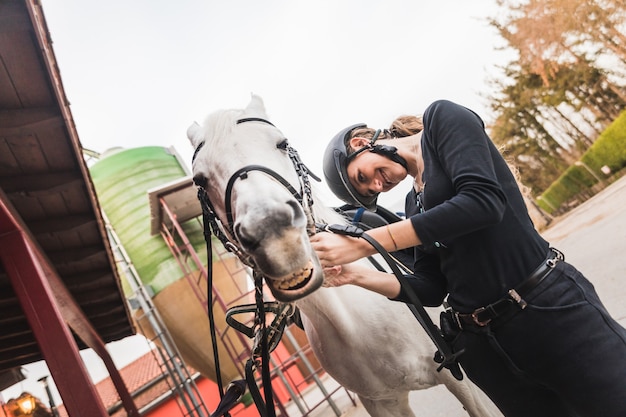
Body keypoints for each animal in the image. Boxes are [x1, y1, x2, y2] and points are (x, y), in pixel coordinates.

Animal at [186, 95, 502, 416]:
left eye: (281, 143)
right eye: (200, 179)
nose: (273, 232)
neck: (354, 323)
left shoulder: (461, 380)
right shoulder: (382, 402)